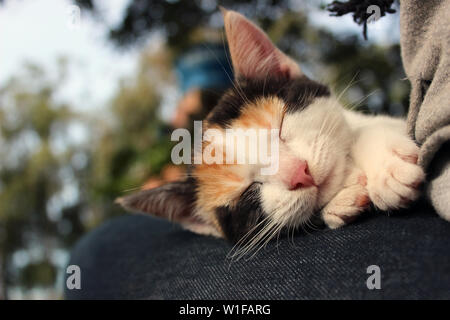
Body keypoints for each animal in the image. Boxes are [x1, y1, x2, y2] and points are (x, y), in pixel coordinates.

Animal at [117, 7, 426, 251]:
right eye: (248, 191)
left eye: (280, 125)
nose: (300, 172)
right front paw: (339, 203)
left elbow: (362, 129)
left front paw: (386, 168)